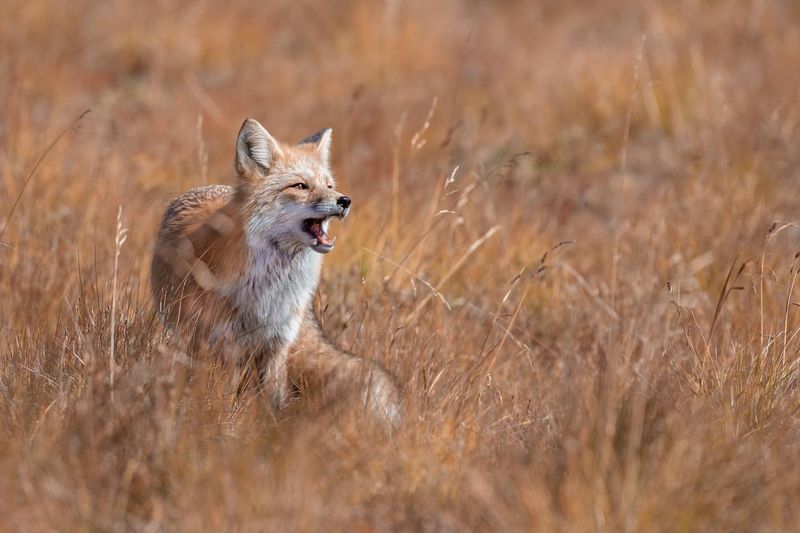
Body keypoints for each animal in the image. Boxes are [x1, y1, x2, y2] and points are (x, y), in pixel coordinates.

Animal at [150, 118, 400, 426]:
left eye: (328, 185)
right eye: (300, 186)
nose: (345, 200)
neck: (268, 291)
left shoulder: (276, 343)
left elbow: (273, 401)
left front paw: (270, 432)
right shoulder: (217, 344)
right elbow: (218, 395)